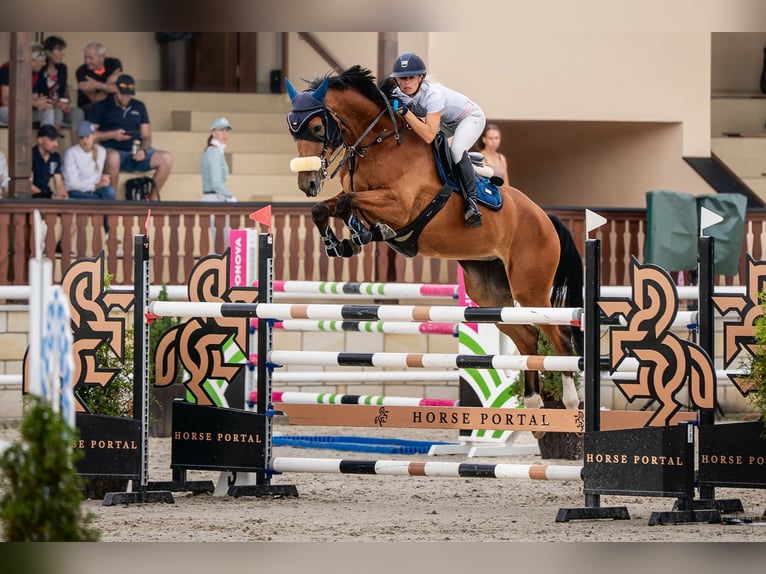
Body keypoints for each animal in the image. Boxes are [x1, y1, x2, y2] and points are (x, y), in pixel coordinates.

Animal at [284, 65, 584, 416]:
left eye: (317, 127)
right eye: (292, 129)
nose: (307, 183)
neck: (378, 143)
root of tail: (545, 217)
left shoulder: (400, 205)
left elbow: (348, 203)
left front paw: (368, 234)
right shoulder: (358, 195)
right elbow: (327, 207)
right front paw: (342, 243)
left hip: (530, 288)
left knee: (559, 335)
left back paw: (570, 400)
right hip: (489, 294)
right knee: (527, 337)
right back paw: (533, 401)